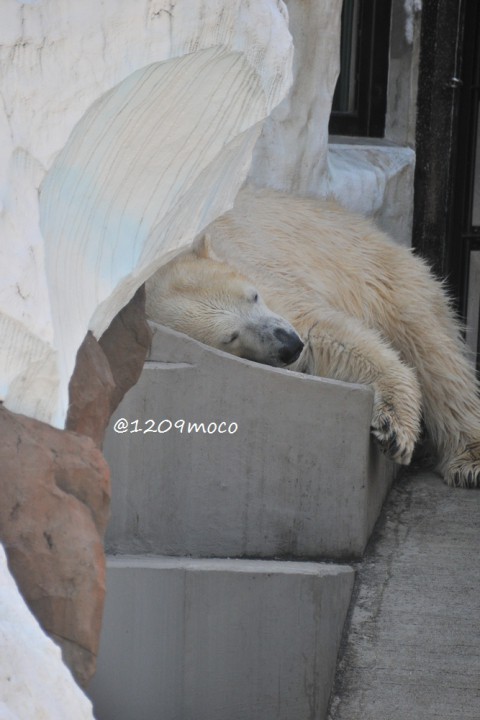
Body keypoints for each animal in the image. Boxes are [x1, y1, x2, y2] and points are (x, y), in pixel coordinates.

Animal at [146, 186, 480, 490]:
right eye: (230, 336)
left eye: (254, 295)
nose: (289, 345)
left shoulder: (265, 276)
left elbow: (323, 332)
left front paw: (393, 428)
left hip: (378, 273)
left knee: (433, 353)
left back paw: (469, 461)